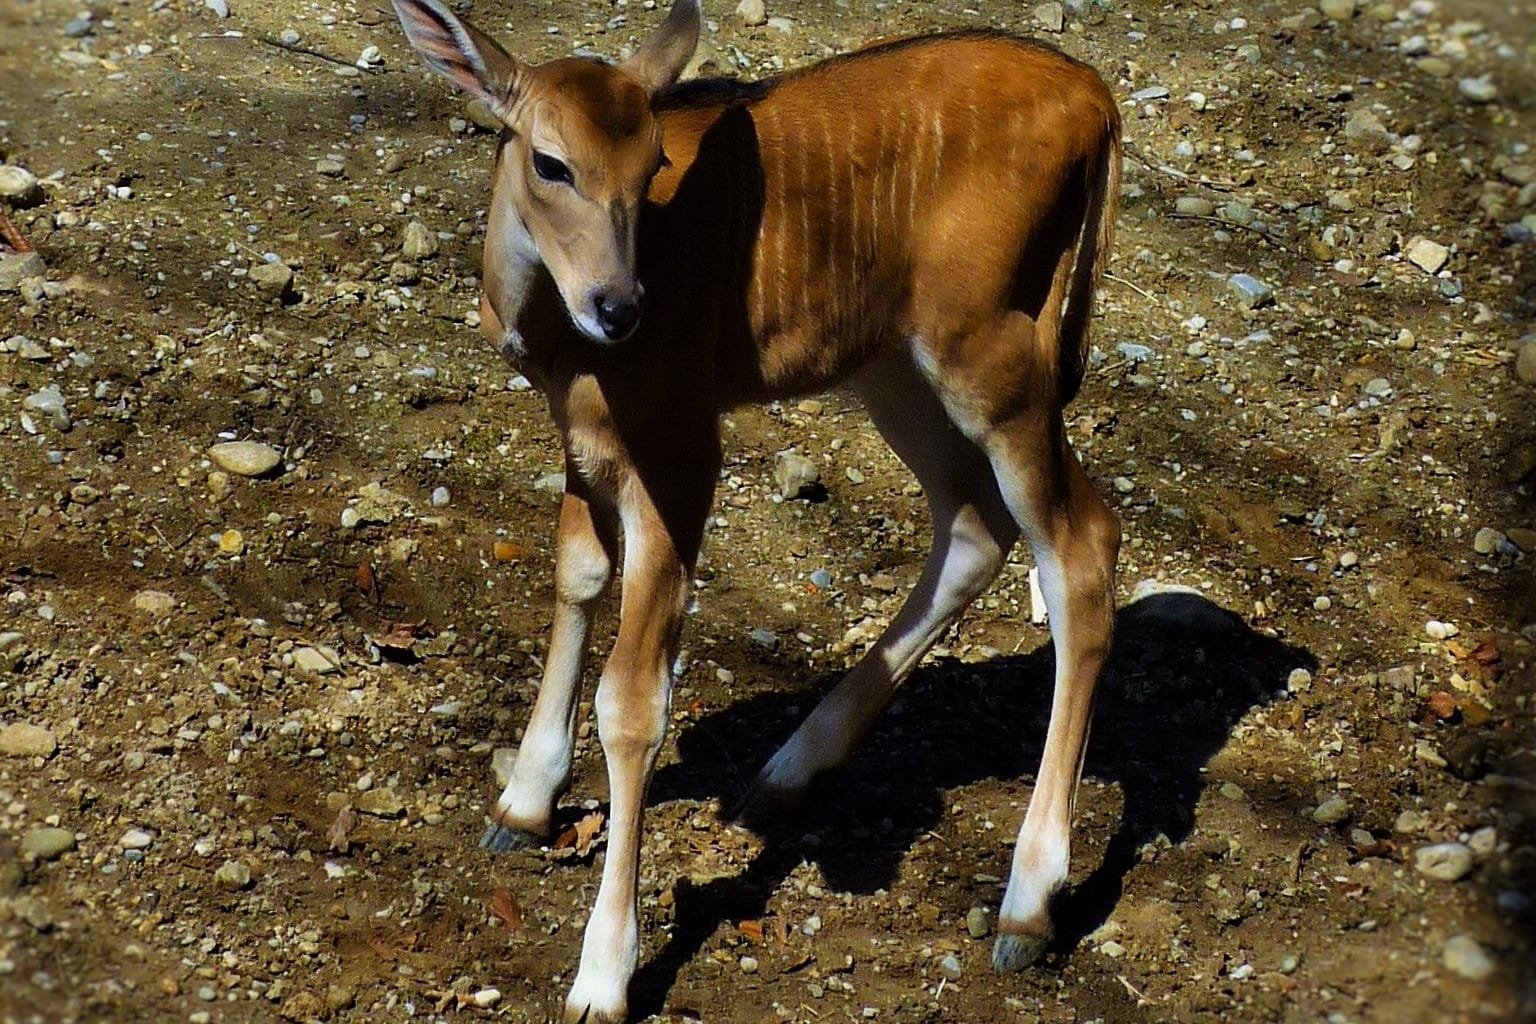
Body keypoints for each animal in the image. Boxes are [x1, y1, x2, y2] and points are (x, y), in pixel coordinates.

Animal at [390, 2, 1124, 1019]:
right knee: (976, 524)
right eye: (550, 161)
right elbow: (576, 577)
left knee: (1080, 544)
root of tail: (1096, 97)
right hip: (892, 362)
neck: (559, 341)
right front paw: (524, 802)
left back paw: (1028, 901)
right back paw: (782, 776)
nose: (619, 305)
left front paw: (603, 972)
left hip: (997, 349)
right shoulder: (582, 439)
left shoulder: (681, 448)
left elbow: (635, 702)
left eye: (653, 163)